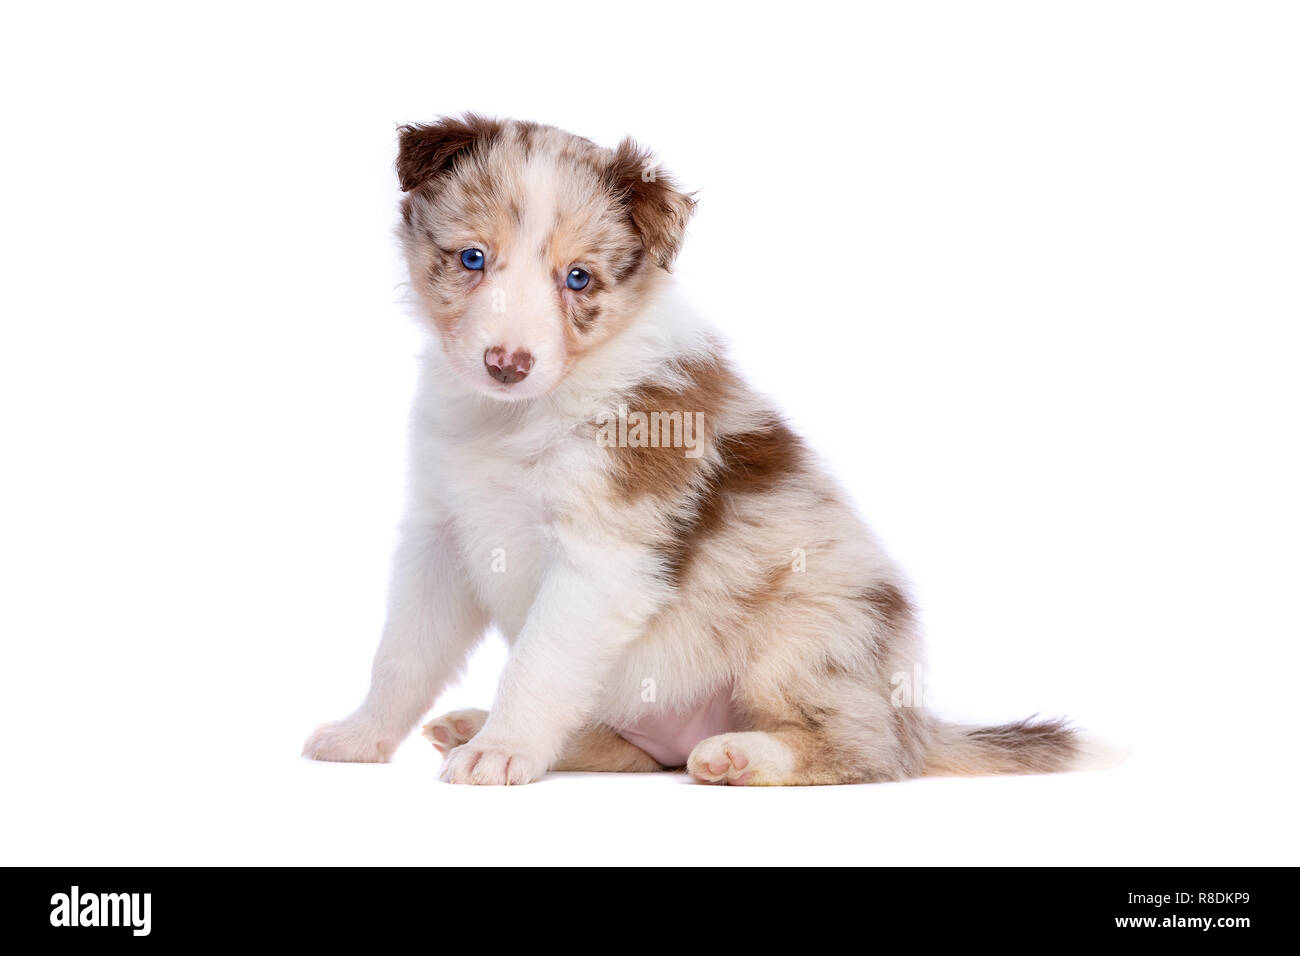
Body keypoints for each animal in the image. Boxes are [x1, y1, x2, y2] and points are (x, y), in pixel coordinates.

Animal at [301, 115, 1118, 785]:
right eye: (473, 259)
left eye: (578, 279)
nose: (507, 363)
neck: (514, 417)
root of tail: (916, 722)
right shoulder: (440, 532)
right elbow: (402, 653)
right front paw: (363, 738)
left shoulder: (602, 556)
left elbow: (535, 665)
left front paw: (502, 753)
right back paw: (487, 728)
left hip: (809, 638)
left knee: (864, 753)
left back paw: (740, 755)